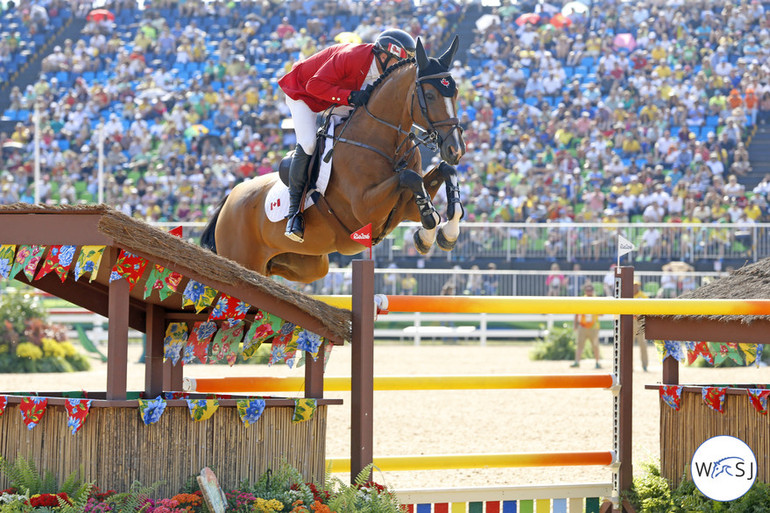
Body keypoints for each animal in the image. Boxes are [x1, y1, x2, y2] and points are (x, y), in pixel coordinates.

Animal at [201, 37, 464, 284]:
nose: (456, 149)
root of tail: (230, 199)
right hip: (242, 256)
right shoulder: (366, 209)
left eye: (456, 93)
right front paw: (429, 227)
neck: (385, 141)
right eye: (429, 95)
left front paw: (447, 232)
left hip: (306, 265)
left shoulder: (406, 207)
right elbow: (410, 177)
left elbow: (444, 170)